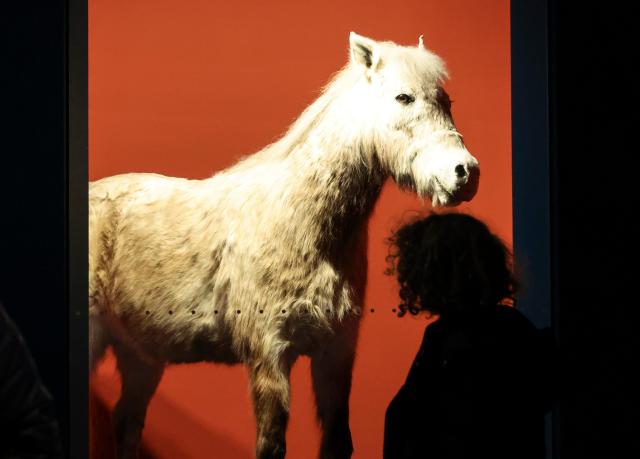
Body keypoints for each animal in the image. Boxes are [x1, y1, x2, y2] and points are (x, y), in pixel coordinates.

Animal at [89, 32, 480, 459]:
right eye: (403, 97)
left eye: (446, 101)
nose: (465, 173)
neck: (302, 225)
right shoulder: (269, 355)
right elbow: (271, 445)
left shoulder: (336, 353)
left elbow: (338, 441)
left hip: (140, 356)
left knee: (127, 423)